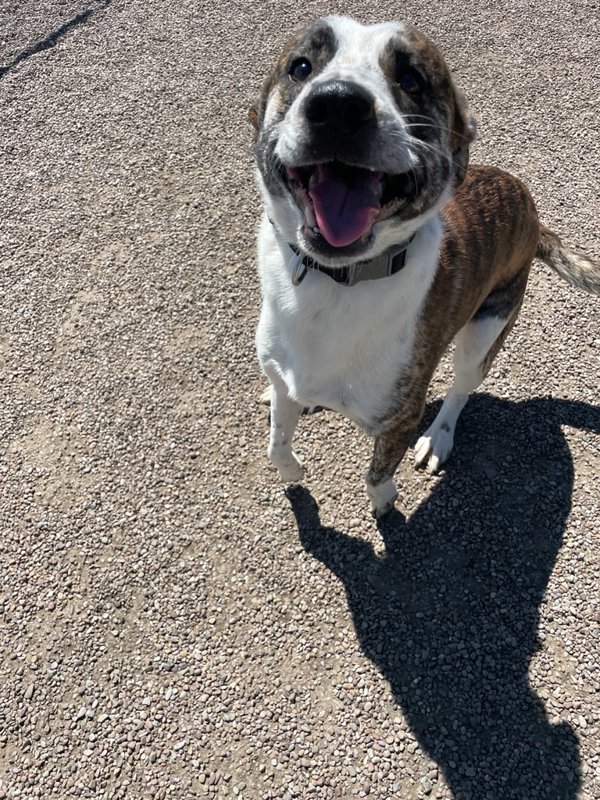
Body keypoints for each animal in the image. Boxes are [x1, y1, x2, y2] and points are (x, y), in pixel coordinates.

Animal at [247, 18, 596, 520]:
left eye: (412, 80)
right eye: (301, 67)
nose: (338, 105)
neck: (336, 281)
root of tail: (532, 214)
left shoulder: (399, 416)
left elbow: (376, 473)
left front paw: (385, 501)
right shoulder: (283, 374)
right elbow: (276, 442)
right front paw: (292, 467)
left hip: (486, 331)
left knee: (460, 390)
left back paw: (438, 438)